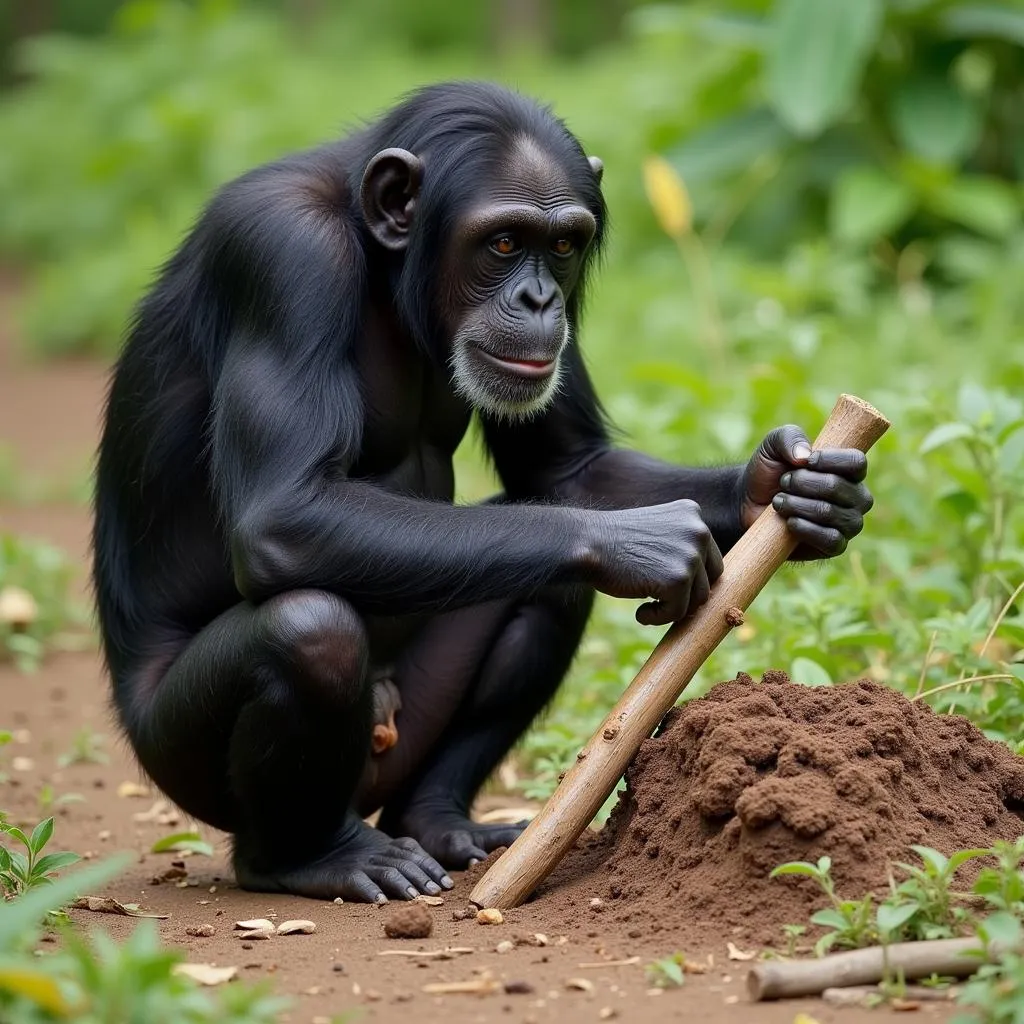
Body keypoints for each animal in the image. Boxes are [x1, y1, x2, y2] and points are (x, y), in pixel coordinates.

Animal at [94, 86, 872, 905]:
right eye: (501, 243)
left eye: (561, 246)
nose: (538, 298)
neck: (384, 264)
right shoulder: (281, 254)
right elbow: (284, 512)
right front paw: (642, 544)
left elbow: (568, 471)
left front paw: (788, 487)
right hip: (175, 757)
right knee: (308, 632)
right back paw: (313, 857)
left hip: (408, 735)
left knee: (550, 588)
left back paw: (438, 822)